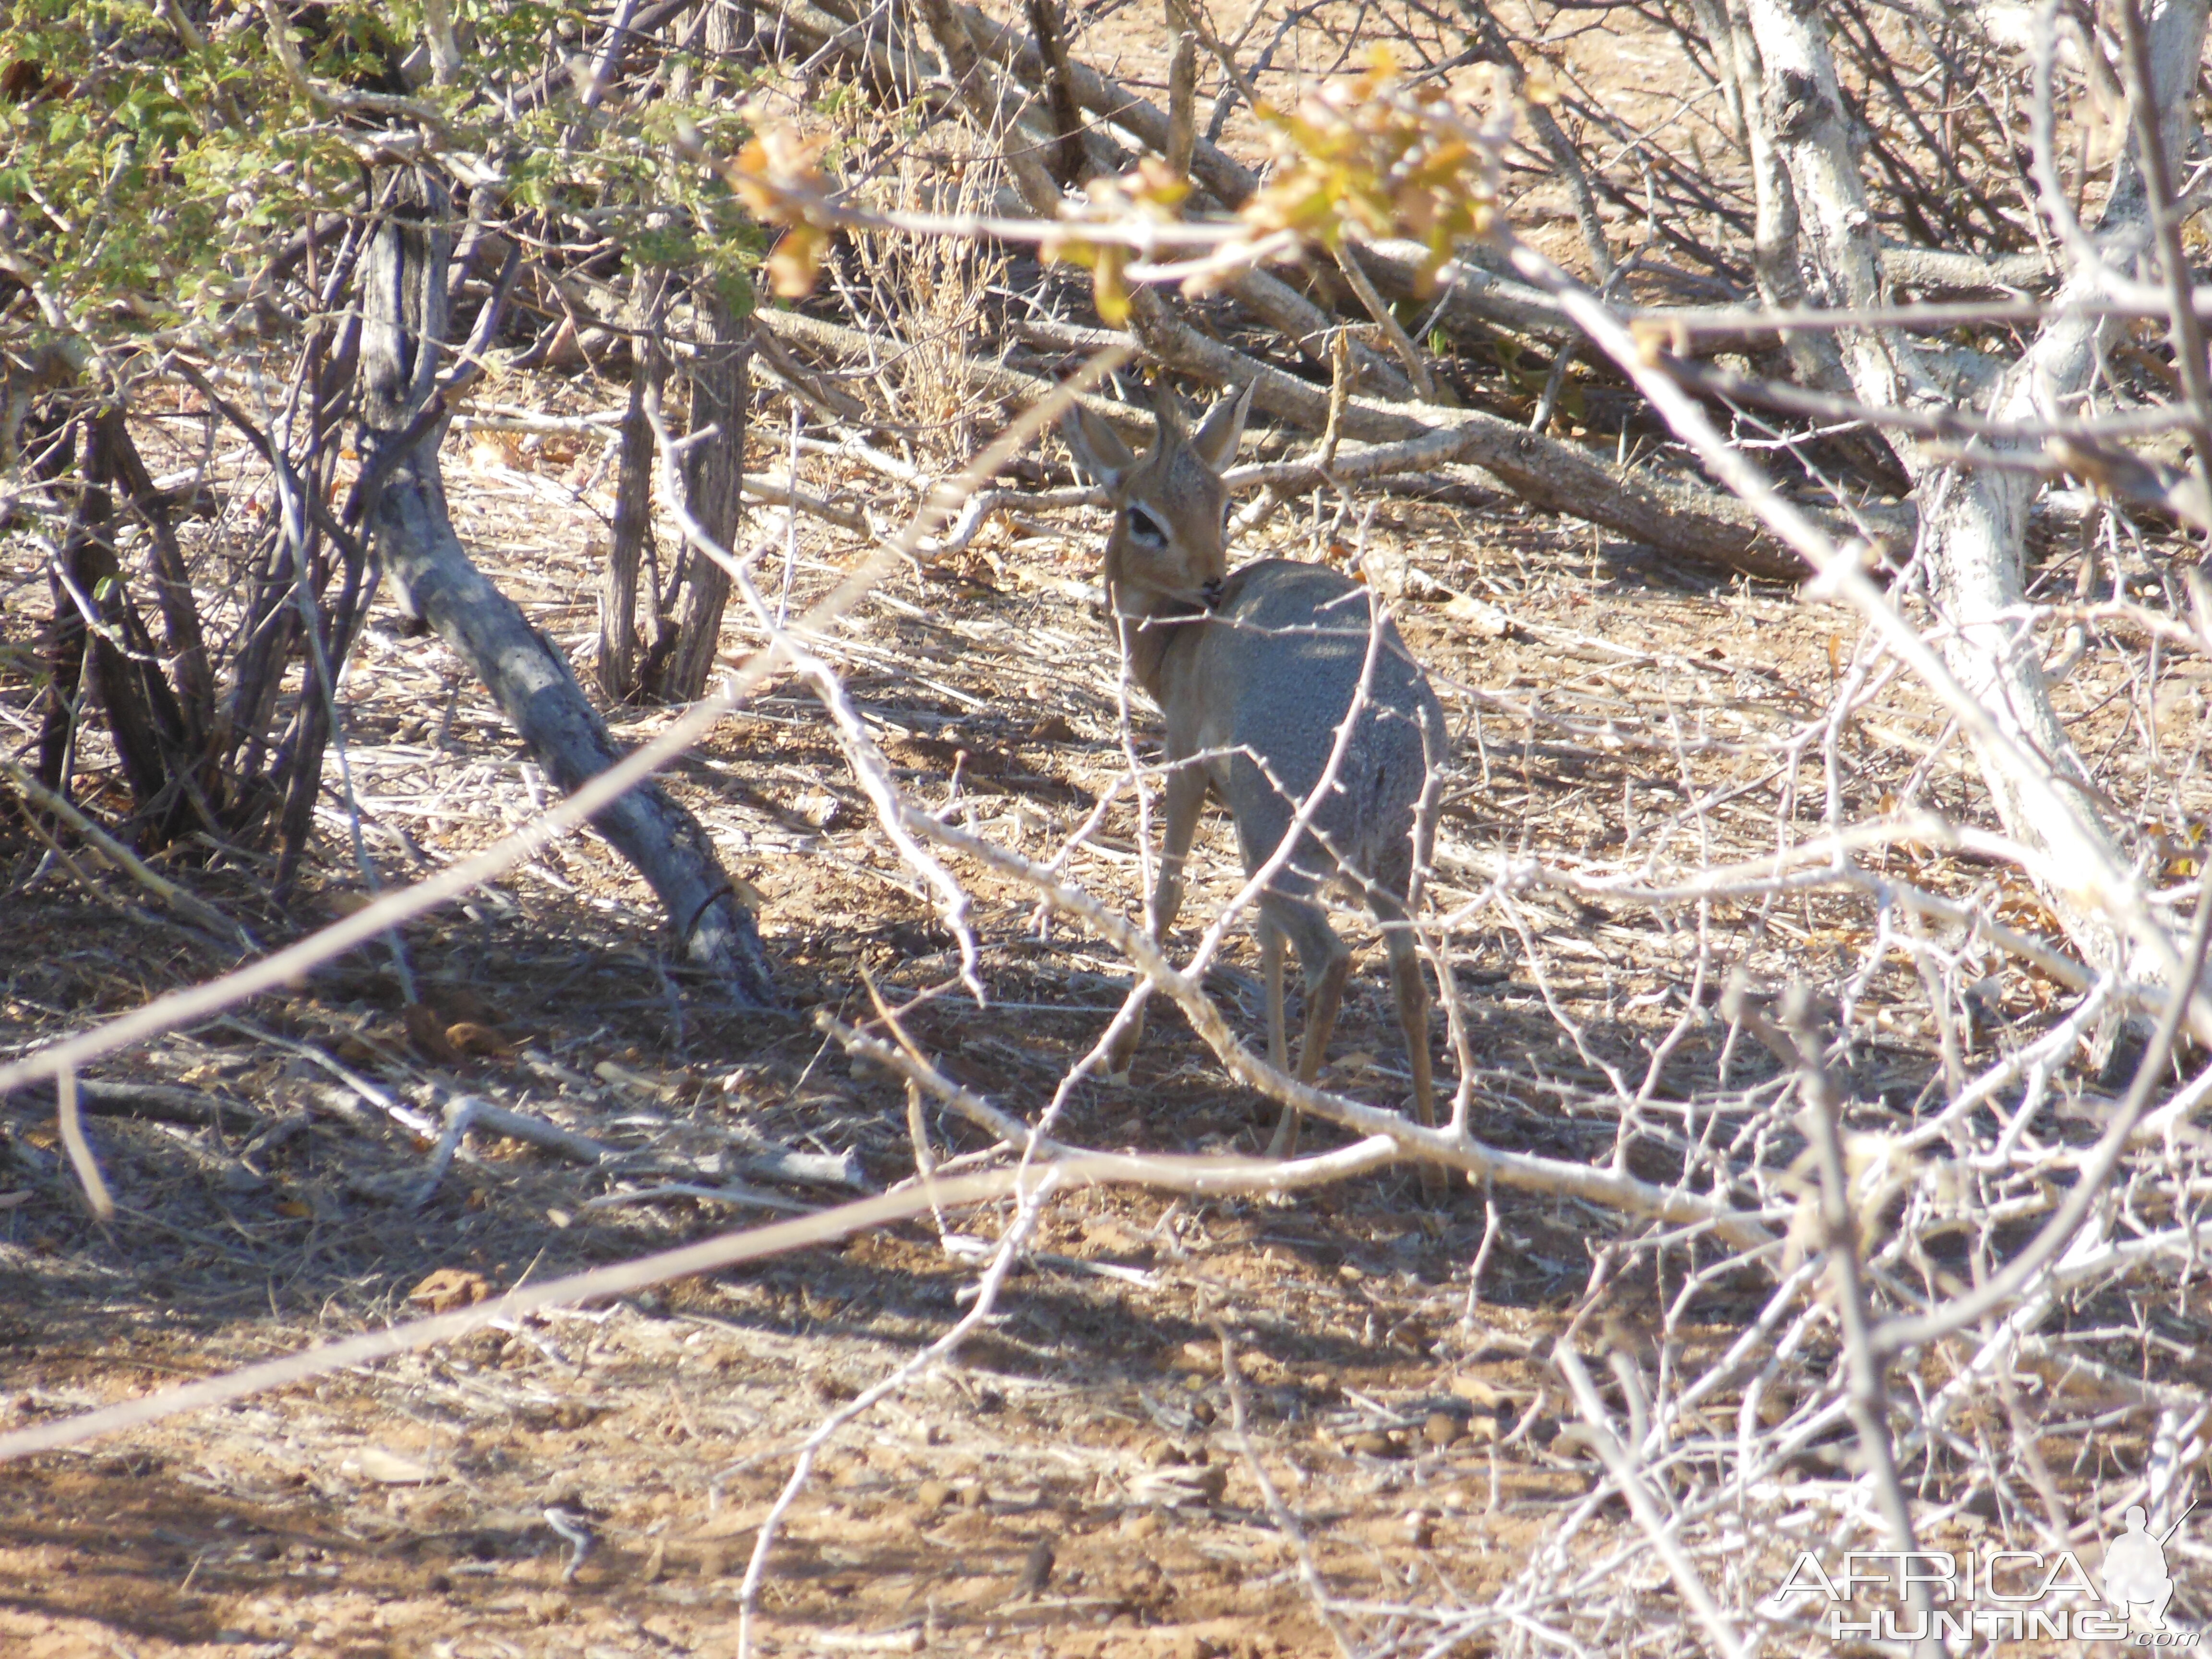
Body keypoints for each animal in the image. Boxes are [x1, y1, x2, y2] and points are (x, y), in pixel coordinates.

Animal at [1057, 387, 1451, 1168]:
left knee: (1332, 961)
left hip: (1291, 854)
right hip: (1388, 867)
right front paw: (1264, 1069)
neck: (1177, 642)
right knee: (1406, 971)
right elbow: (1262, 939)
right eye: (1143, 516)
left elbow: (1166, 899)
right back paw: (1429, 1153)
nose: (1212, 579)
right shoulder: (1239, 819)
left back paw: (1289, 1142)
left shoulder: (1186, 766)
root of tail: (1382, 743)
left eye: (1223, 503)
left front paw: (1120, 1053)